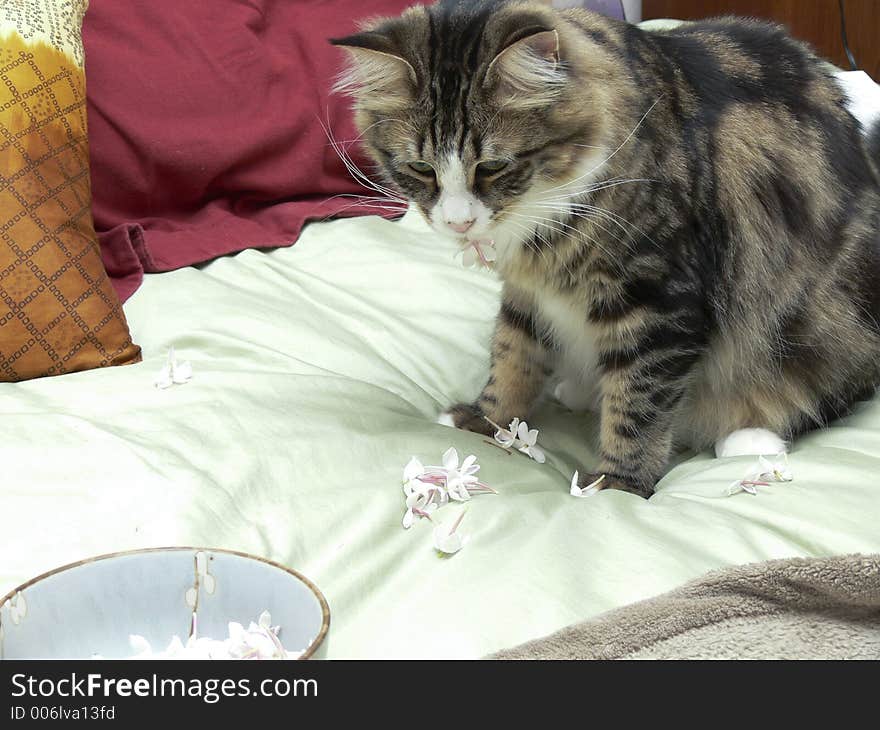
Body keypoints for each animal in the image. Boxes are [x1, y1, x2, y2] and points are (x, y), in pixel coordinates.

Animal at [330, 0, 880, 494]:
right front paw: (485, 421)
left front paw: (617, 484)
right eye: (421, 169)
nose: (458, 222)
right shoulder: (529, 292)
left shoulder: (658, 302)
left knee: (819, 393)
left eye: (492, 167)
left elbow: (638, 403)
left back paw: (748, 435)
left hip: (819, 327)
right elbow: (512, 356)